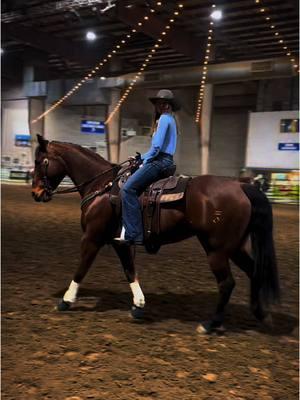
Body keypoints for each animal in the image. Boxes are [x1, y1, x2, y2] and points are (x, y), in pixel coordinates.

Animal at [31, 136, 280, 332]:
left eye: (39, 162)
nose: (36, 193)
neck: (102, 186)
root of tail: (240, 186)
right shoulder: (120, 242)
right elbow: (129, 271)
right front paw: (138, 305)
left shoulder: (92, 238)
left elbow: (82, 268)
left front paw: (66, 301)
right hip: (234, 247)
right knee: (254, 272)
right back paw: (261, 314)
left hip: (217, 250)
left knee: (227, 283)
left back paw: (211, 324)